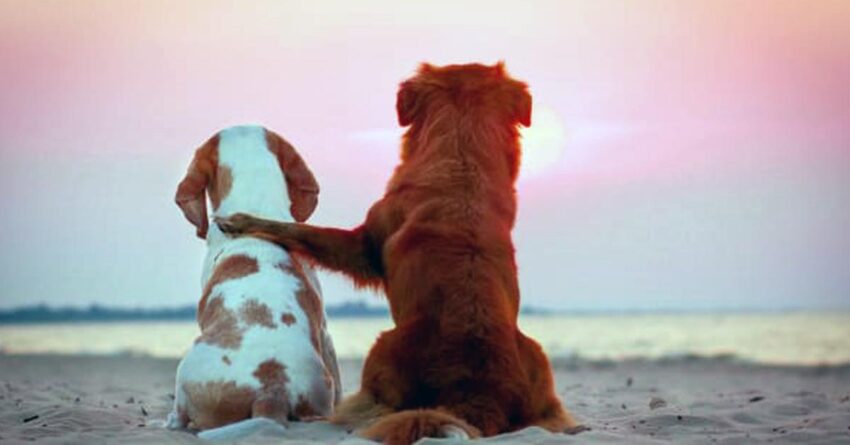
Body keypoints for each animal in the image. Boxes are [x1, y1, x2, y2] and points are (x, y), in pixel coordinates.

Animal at [215, 63, 580, 444]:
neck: (461, 158)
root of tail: (479, 394)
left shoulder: (362, 246)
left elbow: (300, 230)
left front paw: (241, 222)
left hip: (382, 346)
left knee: (369, 409)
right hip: (539, 360)